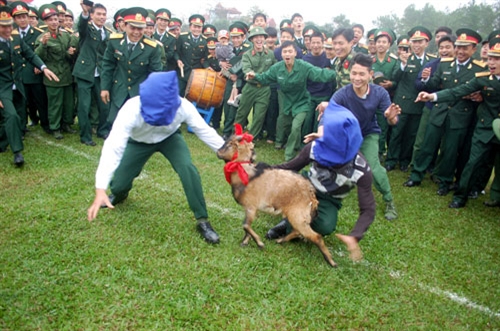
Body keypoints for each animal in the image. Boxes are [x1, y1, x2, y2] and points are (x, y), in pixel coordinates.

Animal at [217, 126, 338, 268]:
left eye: (230, 144)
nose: (218, 152)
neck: (247, 173)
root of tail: (311, 194)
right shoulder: (250, 209)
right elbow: (247, 226)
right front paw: (245, 242)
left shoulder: (251, 207)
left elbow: (245, 225)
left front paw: (259, 243)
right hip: (297, 216)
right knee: (298, 231)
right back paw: (280, 240)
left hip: (298, 215)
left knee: (315, 236)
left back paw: (331, 262)